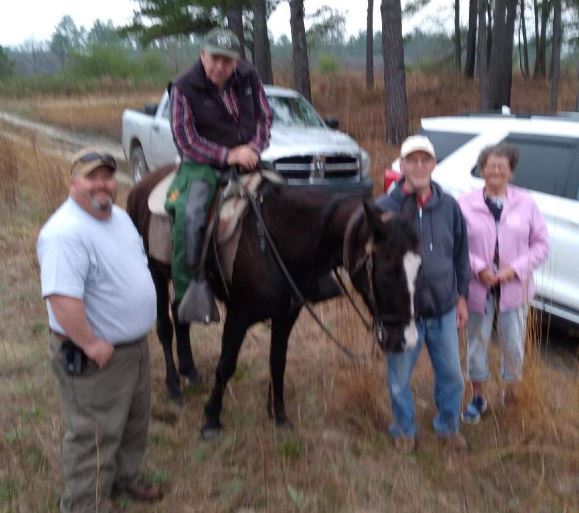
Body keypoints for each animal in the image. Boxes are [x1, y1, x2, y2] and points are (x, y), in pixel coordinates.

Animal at [127, 166, 422, 438]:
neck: (275, 240)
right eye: (385, 272)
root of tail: (141, 186)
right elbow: (226, 364)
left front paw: (279, 415)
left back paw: (191, 373)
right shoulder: (238, 315)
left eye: (418, 268)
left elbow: (278, 361)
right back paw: (174, 387)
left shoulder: (286, 316)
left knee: (180, 317)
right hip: (155, 273)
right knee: (165, 326)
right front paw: (211, 419)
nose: (406, 341)